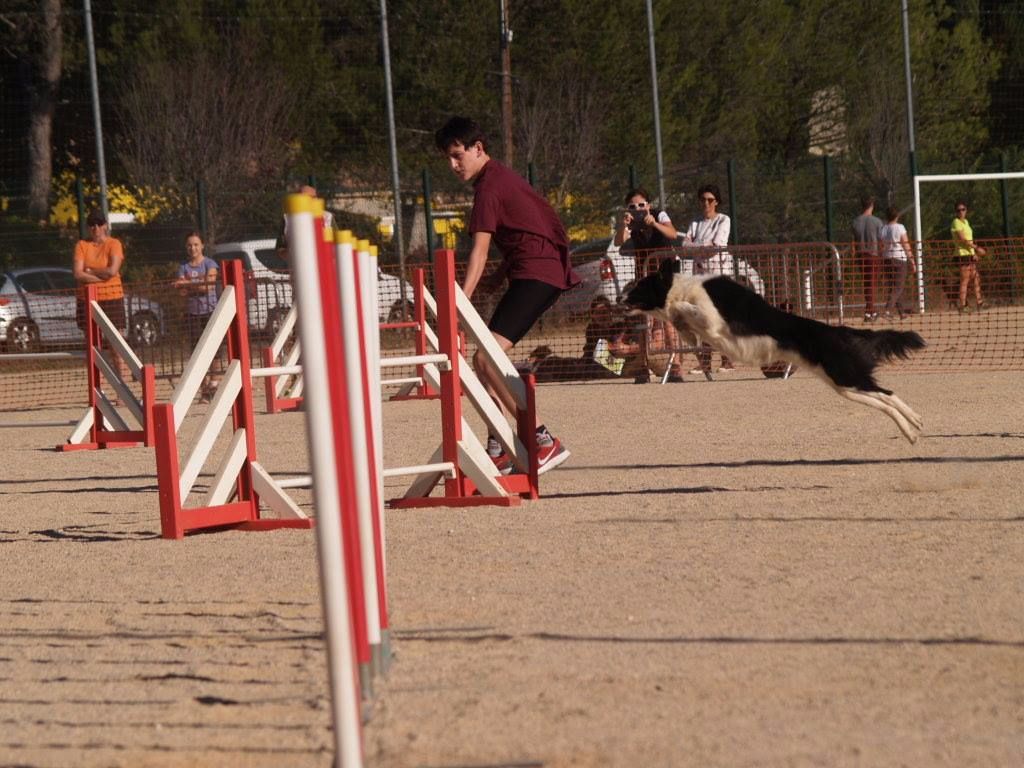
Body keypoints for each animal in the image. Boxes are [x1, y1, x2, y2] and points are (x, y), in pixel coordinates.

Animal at [622, 257, 929, 442]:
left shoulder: (713, 320)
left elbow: (685, 307)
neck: (681, 287)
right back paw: (911, 431)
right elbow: (688, 333)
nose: (620, 299)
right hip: (844, 385)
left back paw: (915, 420)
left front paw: (678, 309)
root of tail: (838, 330)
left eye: (639, 286)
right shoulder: (702, 335)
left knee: (888, 393)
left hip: (845, 375)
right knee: (882, 400)